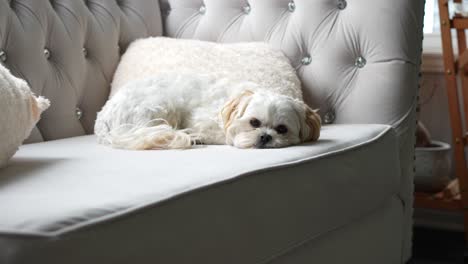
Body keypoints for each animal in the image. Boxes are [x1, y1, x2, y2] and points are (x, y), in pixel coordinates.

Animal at [95, 73, 322, 150]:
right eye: (254, 123)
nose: (265, 136)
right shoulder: (201, 120)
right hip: (160, 104)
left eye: (282, 129)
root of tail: (104, 115)